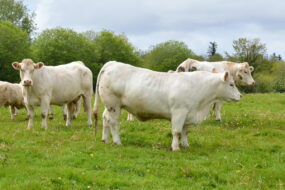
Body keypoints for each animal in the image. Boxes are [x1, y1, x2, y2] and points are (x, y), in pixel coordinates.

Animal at [93, 61, 240, 151]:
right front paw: (175, 147)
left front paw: (186, 145)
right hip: (113, 105)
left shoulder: (188, 115)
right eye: (231, 84)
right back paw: (117, 141)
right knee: (113, 123)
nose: (240, 96)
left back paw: (105, 139)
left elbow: (185, 132)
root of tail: (112, 63)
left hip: (109, 106)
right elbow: (177, 131)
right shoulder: (179, 112)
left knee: (105, 119)